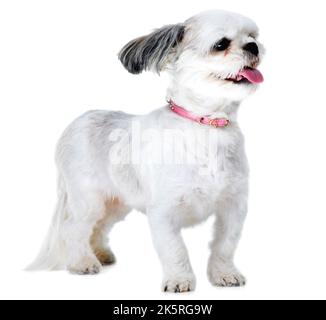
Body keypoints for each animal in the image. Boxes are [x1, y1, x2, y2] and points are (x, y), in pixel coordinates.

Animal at [29, 8, 264, 292]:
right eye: (221, 45)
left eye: (252, 36)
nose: (253, 47)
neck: (205, 126)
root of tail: (75, 123)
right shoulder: (163, 212)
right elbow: (175, 250)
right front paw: (179, 280)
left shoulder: (233, 207)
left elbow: (225, 246)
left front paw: (224, 274)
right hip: (88, 200)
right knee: (73, 228)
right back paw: (82, 262)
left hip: (116, 203)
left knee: (98, 227)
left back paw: (100, 254)